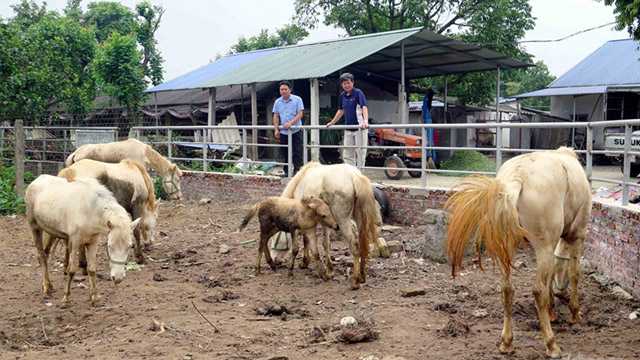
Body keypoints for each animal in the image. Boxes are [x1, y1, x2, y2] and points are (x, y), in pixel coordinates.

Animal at [26, 176, 140, 306]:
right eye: (110, 246)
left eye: (130, 246)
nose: (118, 278)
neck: (90, 210)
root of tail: (35, 181)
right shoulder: (74, 242)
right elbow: (71, 270)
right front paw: (66, 298)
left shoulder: (93, 242)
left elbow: (91, 269)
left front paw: (94, 298)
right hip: (35, 227)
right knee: (41, 256)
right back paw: (46, 288)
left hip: (51, 232)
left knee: (45, 254)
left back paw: (49, 285)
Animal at [282, 162, 388, 290]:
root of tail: (354, 176)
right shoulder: (325, 220)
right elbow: (325, 243)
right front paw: (329, 271)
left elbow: (306, 239)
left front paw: (305, 262)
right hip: (359, 219)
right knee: (363, 244)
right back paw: (362, 276)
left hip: (342, 221)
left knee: (354, 244)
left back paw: (355, 281)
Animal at [444, 148, 592, 358]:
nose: (560, 291)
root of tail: (518, 177)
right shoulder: (578, 235)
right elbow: (574, 274)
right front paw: (574, 313)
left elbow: (551, 277)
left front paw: (552, 313)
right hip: (542, 246)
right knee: (538, 289)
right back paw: (551, 345)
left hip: (508, 246)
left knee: (507, 289)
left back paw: (507, 342)